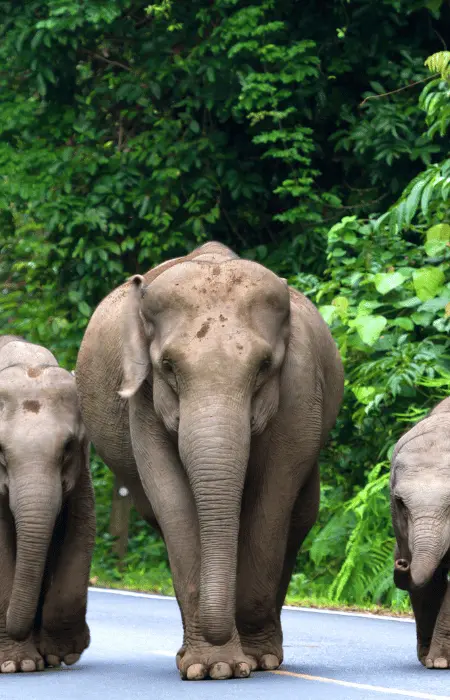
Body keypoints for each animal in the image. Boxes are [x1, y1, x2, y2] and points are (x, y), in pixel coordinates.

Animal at [0, 334, 94, 672]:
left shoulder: (82, 474)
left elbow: (81, 533)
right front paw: (19, 665)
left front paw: (61, 654)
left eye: (67, 447)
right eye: (0, 451)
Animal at [76, 241, 344, 680]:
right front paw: (212, 667)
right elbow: (172, 500)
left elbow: (272, 499)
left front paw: (252, 661)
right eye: (168, 366)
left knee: (299, 517)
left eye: (264, 366)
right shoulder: (143, 403)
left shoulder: (300, 390)